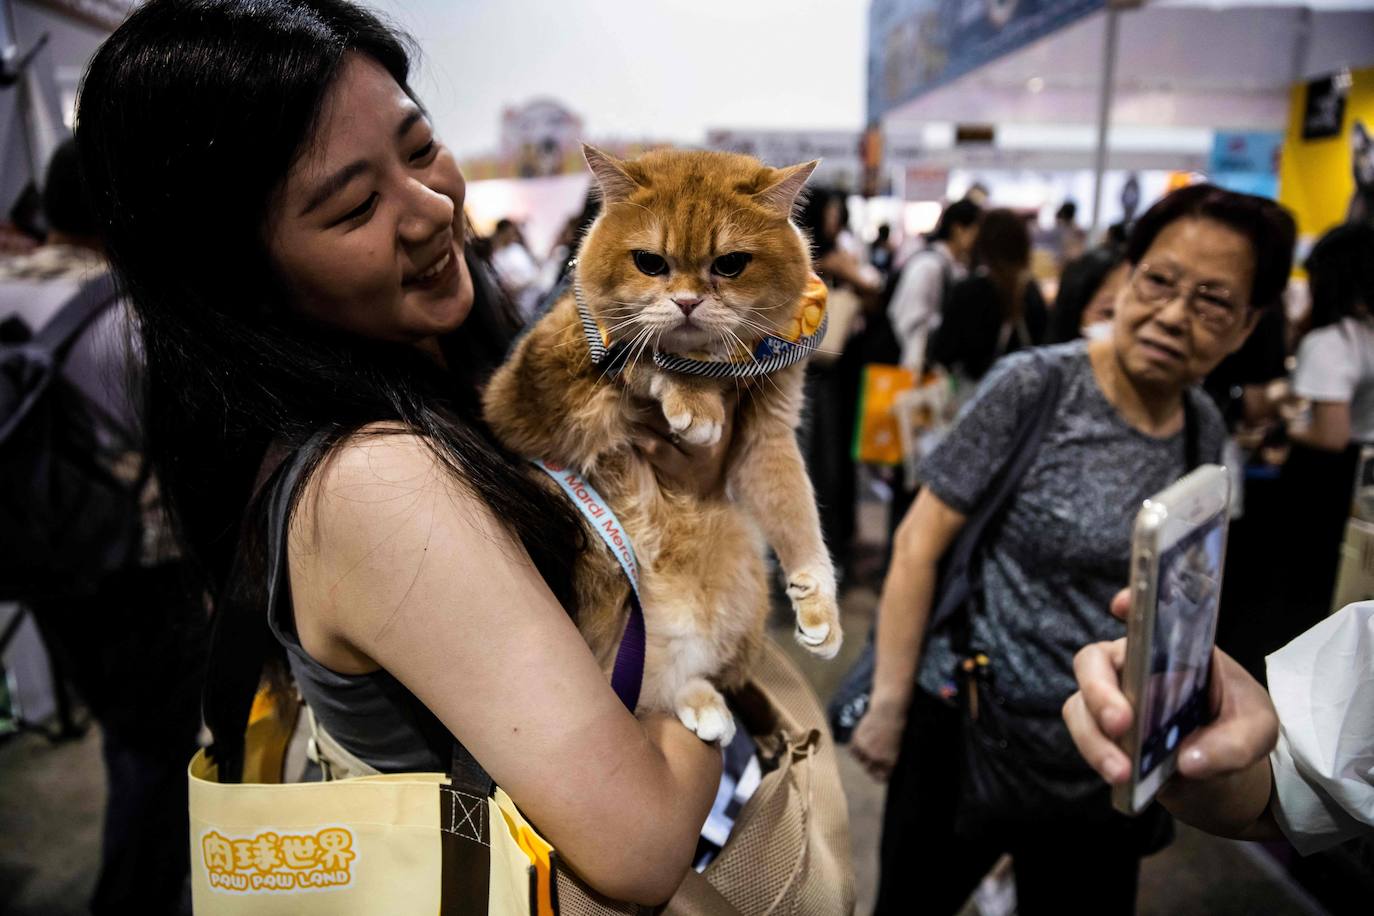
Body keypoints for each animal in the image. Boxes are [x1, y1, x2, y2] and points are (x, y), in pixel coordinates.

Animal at [489, 144, 840, 747]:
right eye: (649, 262)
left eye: (730, 264)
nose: (687, 302)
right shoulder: (527, 393)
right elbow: (643, 352)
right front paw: (688, 395)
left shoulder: (768, 437)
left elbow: (798, 518)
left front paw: (819, 607)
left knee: (676, 683)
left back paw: (702, 702)